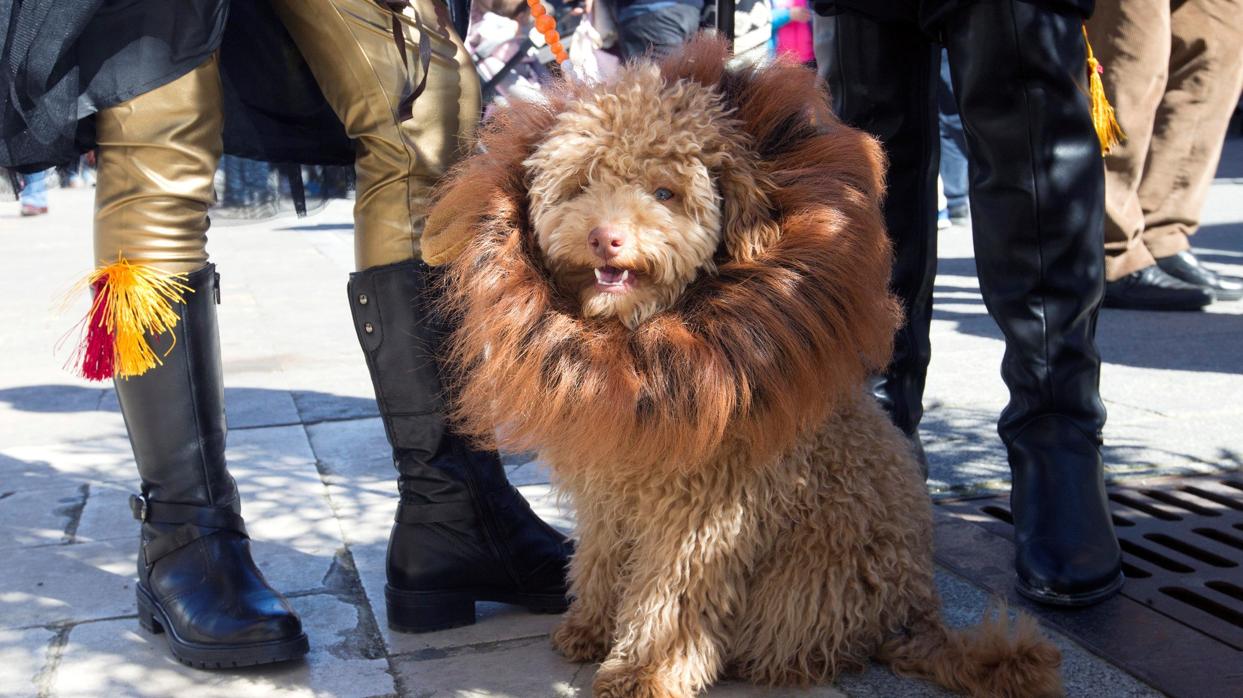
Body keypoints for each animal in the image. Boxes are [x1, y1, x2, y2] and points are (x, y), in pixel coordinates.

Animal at [425, 36, 1059, 695]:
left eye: (665, 193)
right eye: (583, 184)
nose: (606, 238)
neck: (646, 351)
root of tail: (915, 617)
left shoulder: (702, 515)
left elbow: (668, 598)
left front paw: (645, 671)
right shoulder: (611, 495)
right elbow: (600, 557)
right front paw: (590, 627)